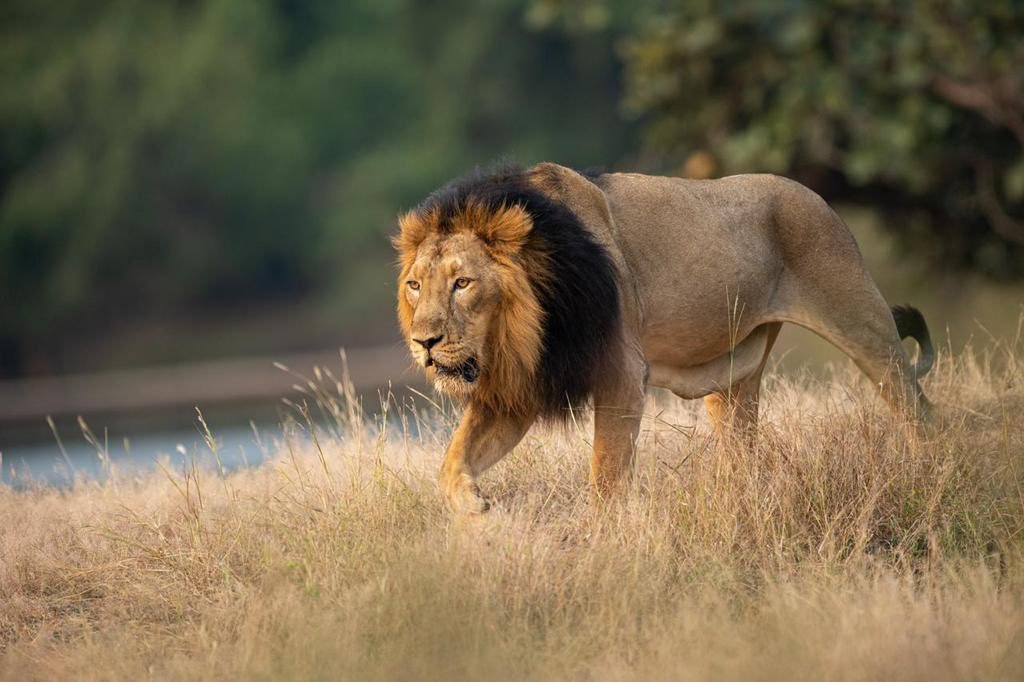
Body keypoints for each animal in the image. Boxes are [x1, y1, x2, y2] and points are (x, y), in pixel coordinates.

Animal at [393, 162, 934, 513]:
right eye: (415, 285)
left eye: (463, 283)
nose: (424, 342)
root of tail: (816, 196)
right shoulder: (518, 392)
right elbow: (452, 463)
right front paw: (475, 514)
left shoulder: (621, 376)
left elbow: (606, 478)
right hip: (733, 381)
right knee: (744, 453)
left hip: (862, 321)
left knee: (920, 410)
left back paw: (931, 475)